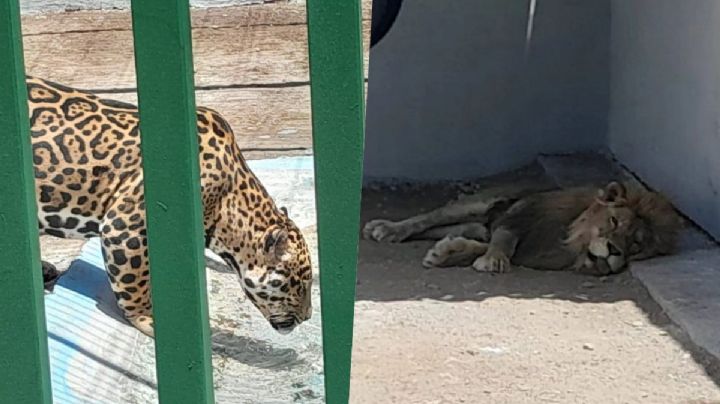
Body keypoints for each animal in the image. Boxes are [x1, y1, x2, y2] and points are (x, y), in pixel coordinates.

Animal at [363, 181, 681, 275]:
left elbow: (480, 246)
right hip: (477, 203)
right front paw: (493, 260)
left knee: (450, 229)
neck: (570, 241)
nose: (615, 251)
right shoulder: (520, 214)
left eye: (634, 246)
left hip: (476, 222)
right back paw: (386, 228)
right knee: (429, 219)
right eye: (614, 222)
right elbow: (504, 241)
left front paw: (447, 253)